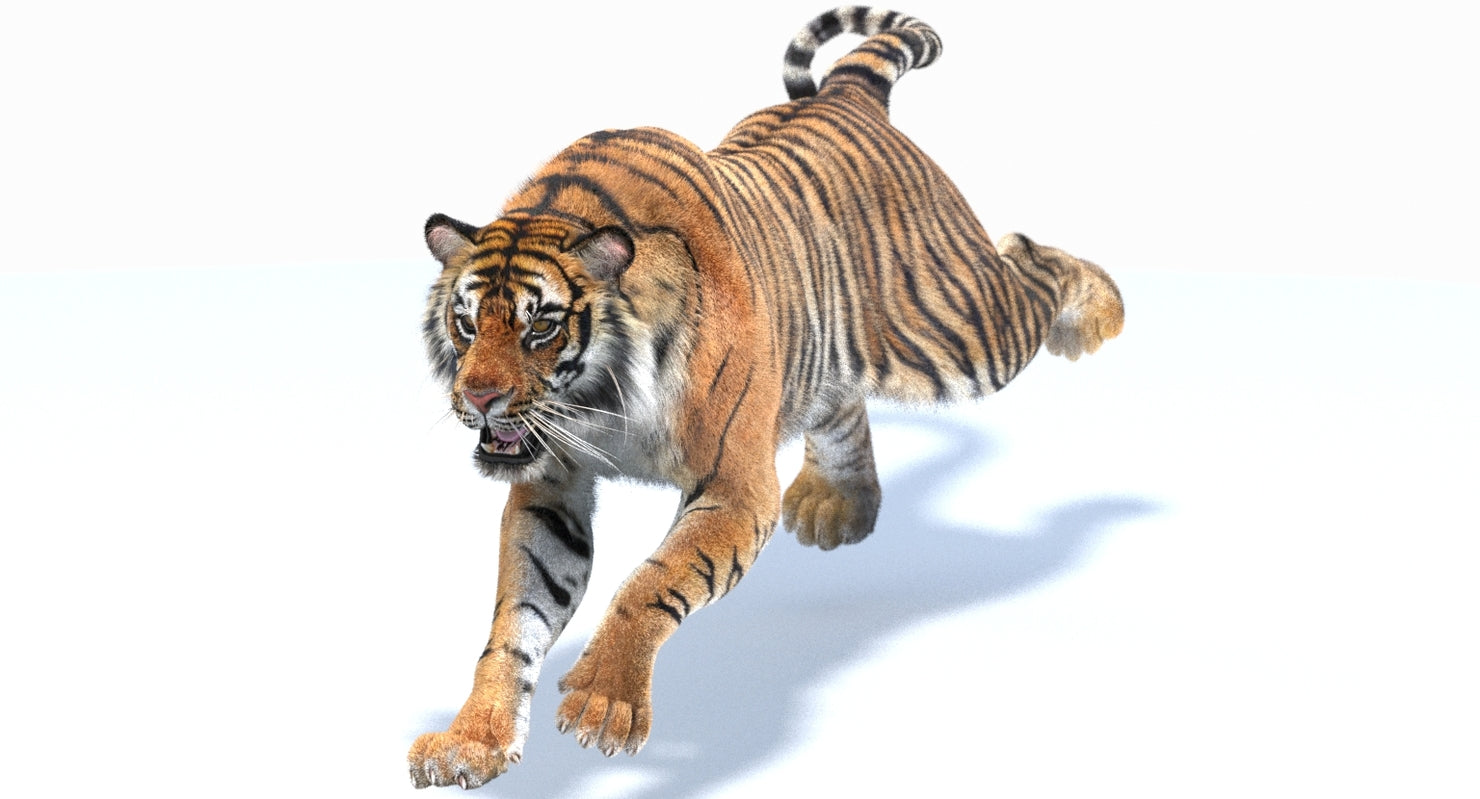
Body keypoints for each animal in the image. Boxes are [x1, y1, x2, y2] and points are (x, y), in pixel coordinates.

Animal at [407, 6, 1123, 789]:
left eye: (540, 325)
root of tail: (846, 92)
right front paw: (472, 739)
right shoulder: (551, 490)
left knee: (1028, 260)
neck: (599, 404)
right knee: (841, 399)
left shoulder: (736, 485)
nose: (479, 398)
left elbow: (652, 580)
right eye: (467, 322)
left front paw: (603, 699)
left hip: (957, 329)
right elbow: (516, 621)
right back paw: (841, 504)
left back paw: (1099, 313)